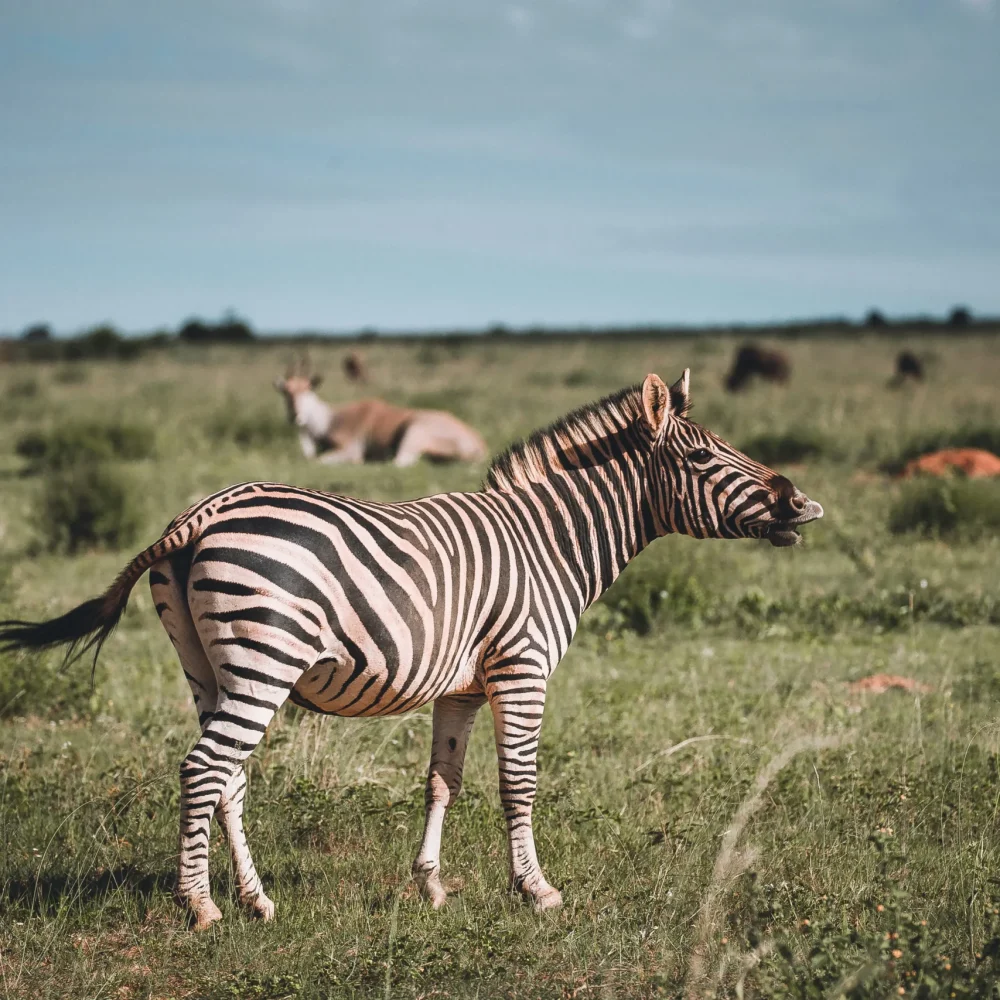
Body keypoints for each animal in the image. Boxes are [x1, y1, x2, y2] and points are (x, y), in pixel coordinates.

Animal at [274, 366, 484, 466]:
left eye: (306, 390)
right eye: (286, 392)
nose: (295, 415)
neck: (329, 420)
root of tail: (479, 444)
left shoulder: (350, 450)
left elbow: (318, 460)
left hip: (413, 430)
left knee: (397, 462)